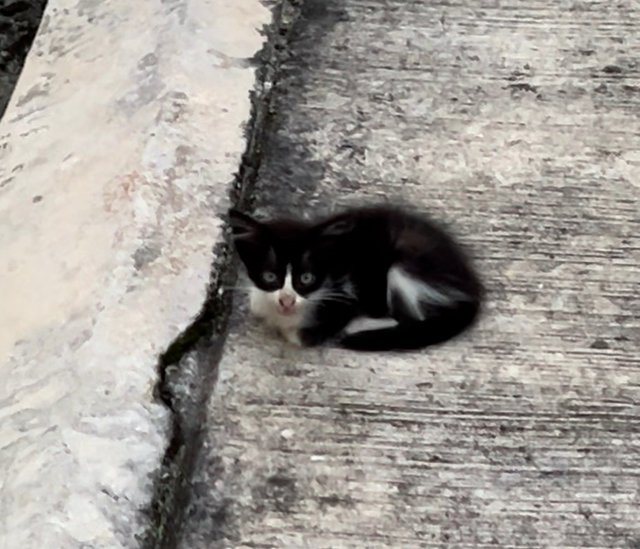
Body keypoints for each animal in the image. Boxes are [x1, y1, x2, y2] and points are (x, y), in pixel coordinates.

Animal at [228, 202, 482, 352]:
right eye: (270, 276)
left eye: (306, 278)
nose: (287, 300)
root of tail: (472, 288)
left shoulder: (343, 292)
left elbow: (305, 333)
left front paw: (300, 332)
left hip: (403, 266)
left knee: (408, 317)